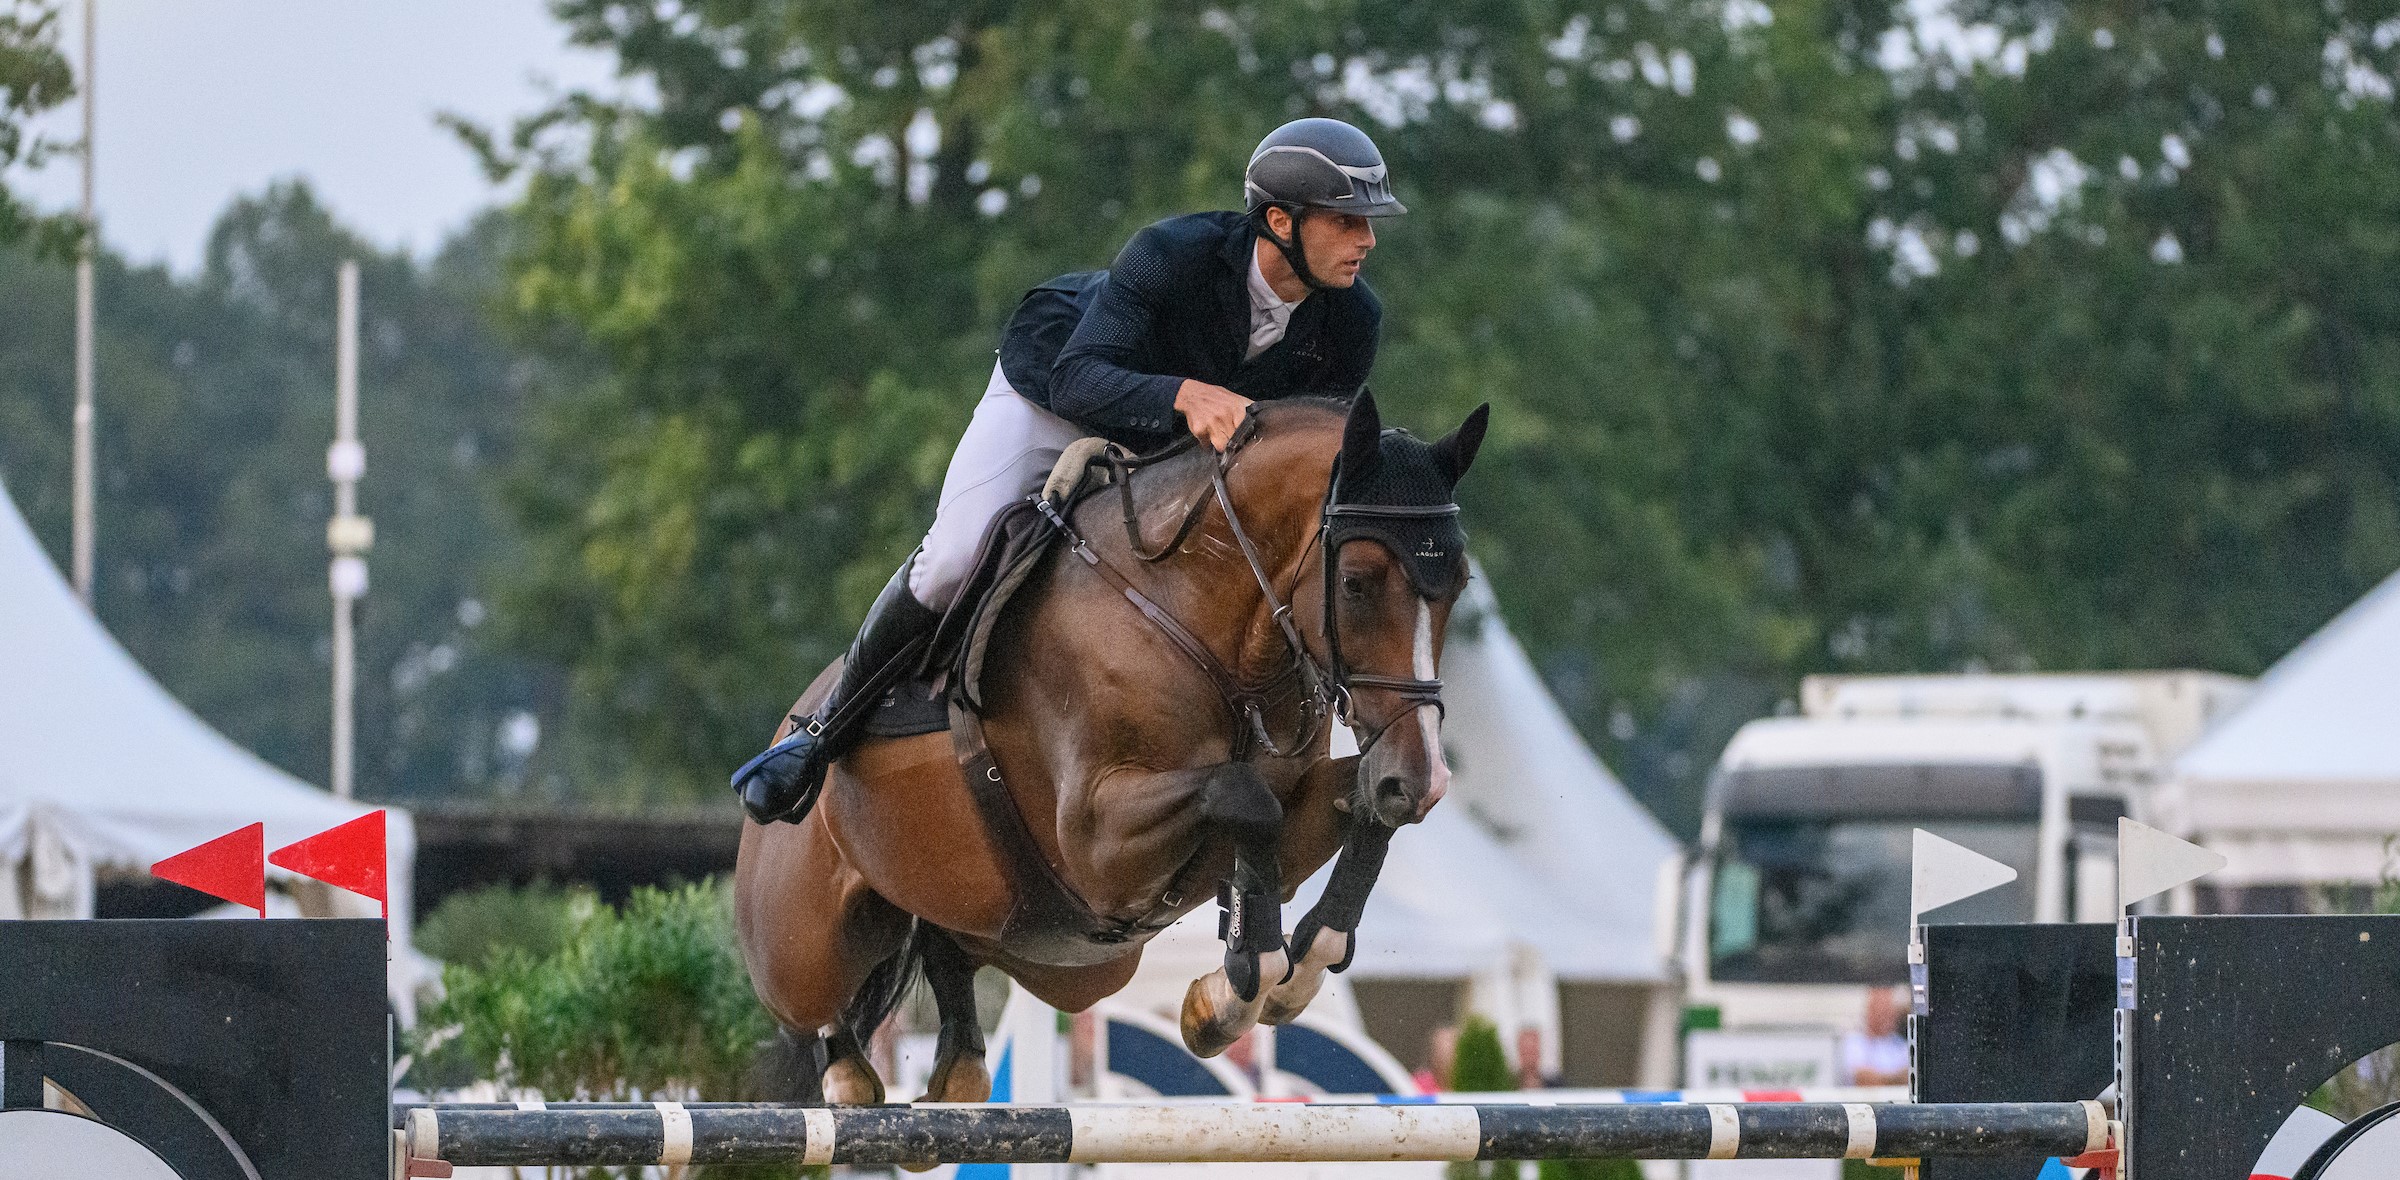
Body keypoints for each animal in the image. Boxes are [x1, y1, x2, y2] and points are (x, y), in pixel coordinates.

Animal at [729, 393, 1478, 1108]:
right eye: (1355, 582)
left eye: (1459, 585)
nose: (1421, 779)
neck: (1202, 619)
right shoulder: (1096, 840)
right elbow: (1242, 796)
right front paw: (1236, 990)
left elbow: (1347, 814)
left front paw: (1301, 963)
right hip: (799, 948)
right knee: (820, 1008)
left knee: (947, 950)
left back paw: (959, 1068)